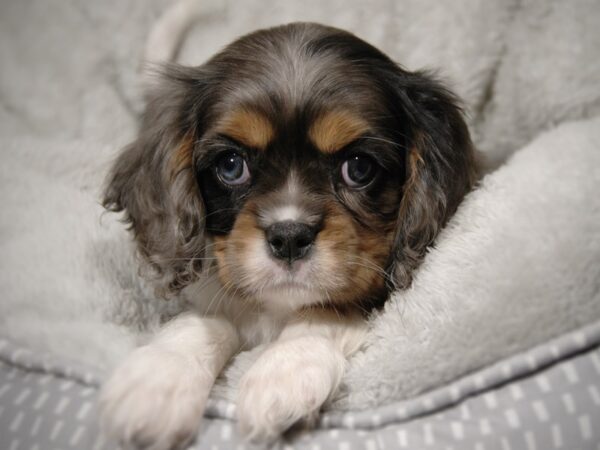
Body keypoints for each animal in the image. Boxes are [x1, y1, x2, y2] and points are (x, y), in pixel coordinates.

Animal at [101, 22, 478, 450]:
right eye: (231, 166)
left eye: (359, 168)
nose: (290, 237)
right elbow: (205, 322)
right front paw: (157, 379)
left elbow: (327, 309)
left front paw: (283, 372)